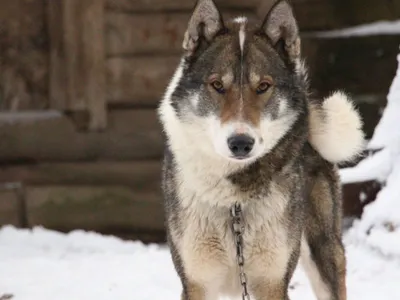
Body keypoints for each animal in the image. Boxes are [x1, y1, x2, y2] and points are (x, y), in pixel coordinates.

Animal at [158, 1, 364, 298]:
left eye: (263, 86)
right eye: (217, 85)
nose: (241, 143)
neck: (233, 201)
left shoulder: (271, 281)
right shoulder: (197, 281)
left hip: (324, 255)